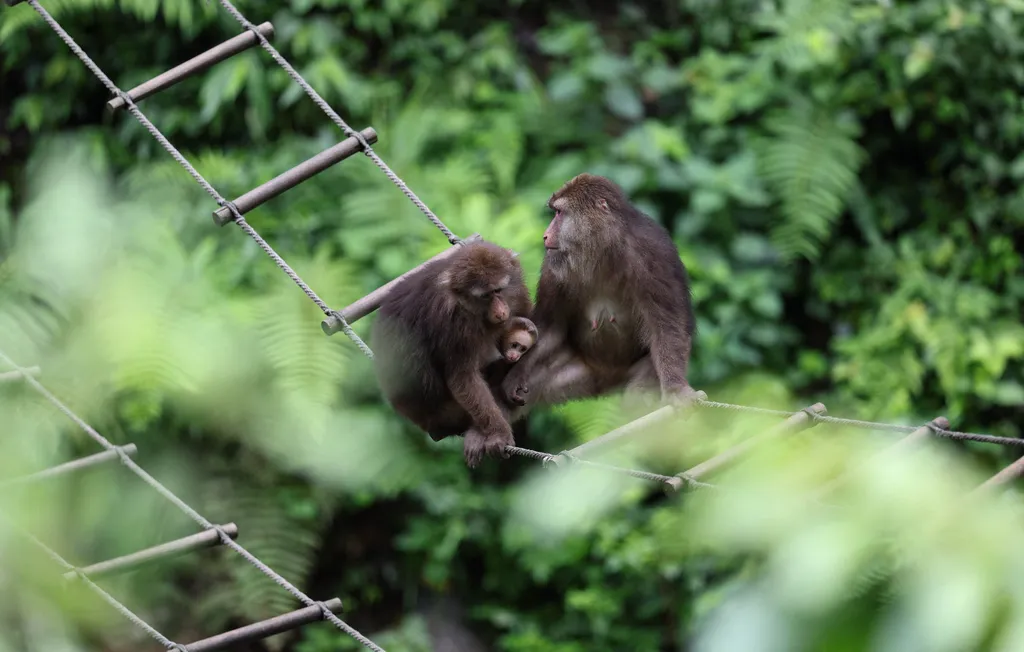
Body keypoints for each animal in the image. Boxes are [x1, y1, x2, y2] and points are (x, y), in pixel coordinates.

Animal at [372, 241, 532, 464]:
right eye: (485, 296)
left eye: (499, 290)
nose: (501, 311)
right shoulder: (454, 320)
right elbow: (462, 377)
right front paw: (498, 432)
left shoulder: (518, 292)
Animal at [499, 172, 700, 413]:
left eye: (559, 212)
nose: (545, 235)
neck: (602, 250)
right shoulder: (553, 265)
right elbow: (549, 328)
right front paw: (515, 375)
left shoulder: (655, 255)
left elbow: (667, 329)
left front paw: (676, 389)